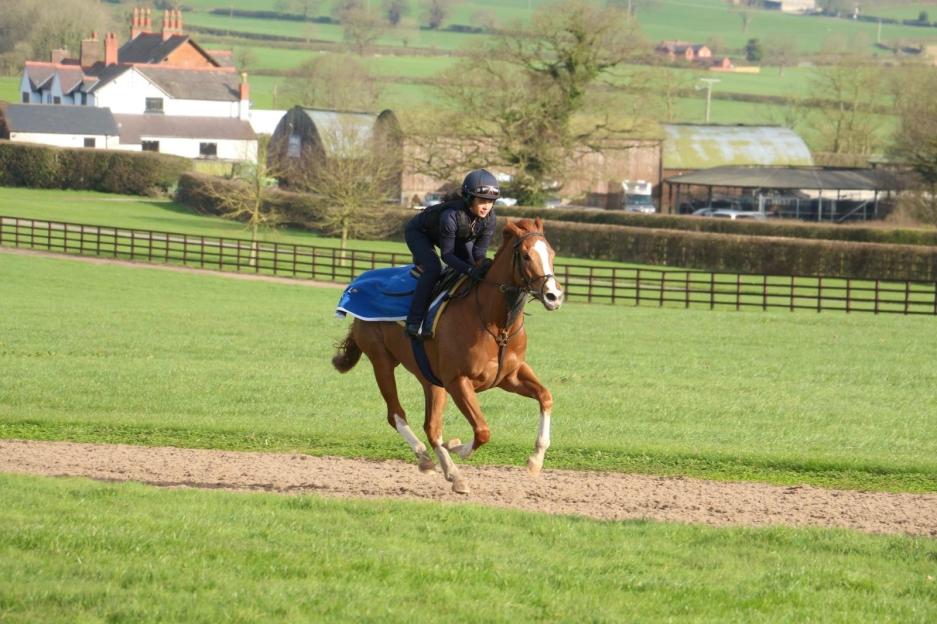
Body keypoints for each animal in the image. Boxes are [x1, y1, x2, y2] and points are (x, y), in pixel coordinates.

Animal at [331, 218, 564, 493]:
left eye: (552, 254)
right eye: (527, 256)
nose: (554, 296)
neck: (495, 323)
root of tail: (356, 284)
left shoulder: (510, 375)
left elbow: (545, 397)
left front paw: (535, 460)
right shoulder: (458, 381)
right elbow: (482, 431)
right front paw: (457, 448)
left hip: (430, 378)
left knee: (431, 426)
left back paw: (447, 469)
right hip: (382, 361)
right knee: (396, 414)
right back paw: (432, 462)